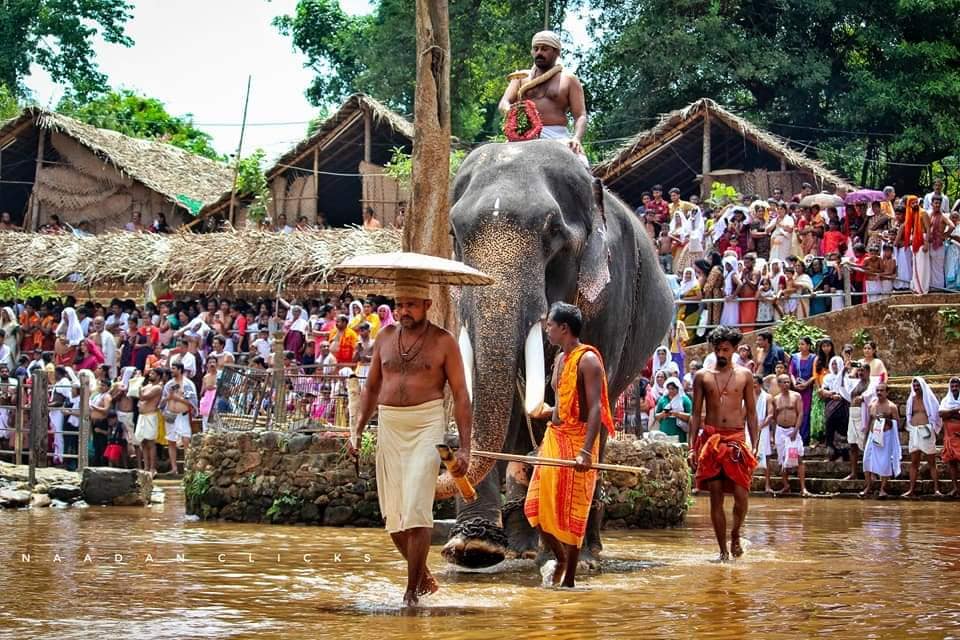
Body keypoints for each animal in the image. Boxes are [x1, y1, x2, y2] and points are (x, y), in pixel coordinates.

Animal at [436, 138, 676, 568]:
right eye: (454, 233)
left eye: (552, 231)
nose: (445, 452)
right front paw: (472, 549)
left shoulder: (610, 297)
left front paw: (565, 556)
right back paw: (522, 548)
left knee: (603, 413)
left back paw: (584, 553)